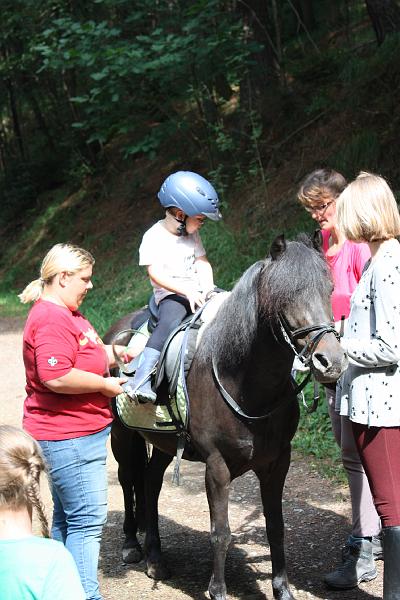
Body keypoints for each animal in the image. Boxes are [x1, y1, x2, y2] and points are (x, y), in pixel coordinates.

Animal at [104, 234, 348, 600]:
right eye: (285, 294)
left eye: (328, 288)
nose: (330, 362)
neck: (242, 381)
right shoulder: (217, 466)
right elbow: (221, 532)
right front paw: (217, 591)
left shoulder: (278, 463)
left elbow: (276, 528)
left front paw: (282, 589)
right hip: (122, 435)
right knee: (126, 477)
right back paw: (132, 544)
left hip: (163, 443)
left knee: (150, 481)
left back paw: (156, 558)